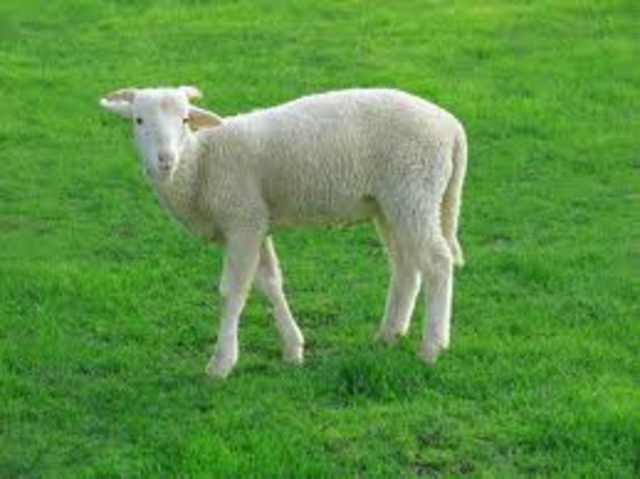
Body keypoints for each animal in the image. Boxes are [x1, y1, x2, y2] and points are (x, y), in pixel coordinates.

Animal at [100, 86, 467, 379]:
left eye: (186, 120)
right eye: (138, 120)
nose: (165, 159)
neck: (200, 162)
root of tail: (452, 127)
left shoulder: (242, 219)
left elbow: (232, 292)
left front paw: (221, 363)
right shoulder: (255, 222)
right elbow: (269, 284)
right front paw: (293, 349)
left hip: (414, 188)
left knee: (437, 263)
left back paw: (432, 347)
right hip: (390, 203)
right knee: (406, 268)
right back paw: (389, 335)